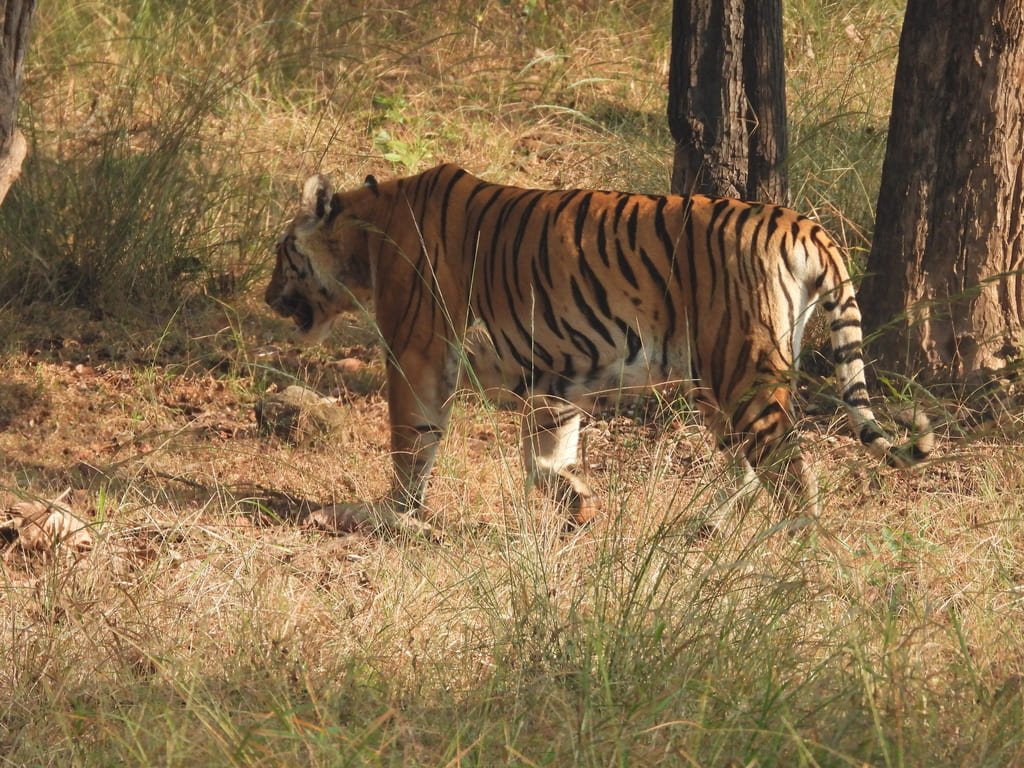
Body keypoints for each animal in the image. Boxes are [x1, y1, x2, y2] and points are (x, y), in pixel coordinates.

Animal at [262, 162, 929, 536]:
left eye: (281, 253)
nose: (267, 298)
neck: (368, 237)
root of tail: (806, 226)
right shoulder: (556, 375)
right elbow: (543, 460)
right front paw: (577, 504)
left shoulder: (418, 351)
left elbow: (411, 443)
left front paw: (391, 515)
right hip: (715, 378)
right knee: (746, 464)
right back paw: (701, 526)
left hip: (743, 370)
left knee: (789, 465)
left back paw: (798, 546)